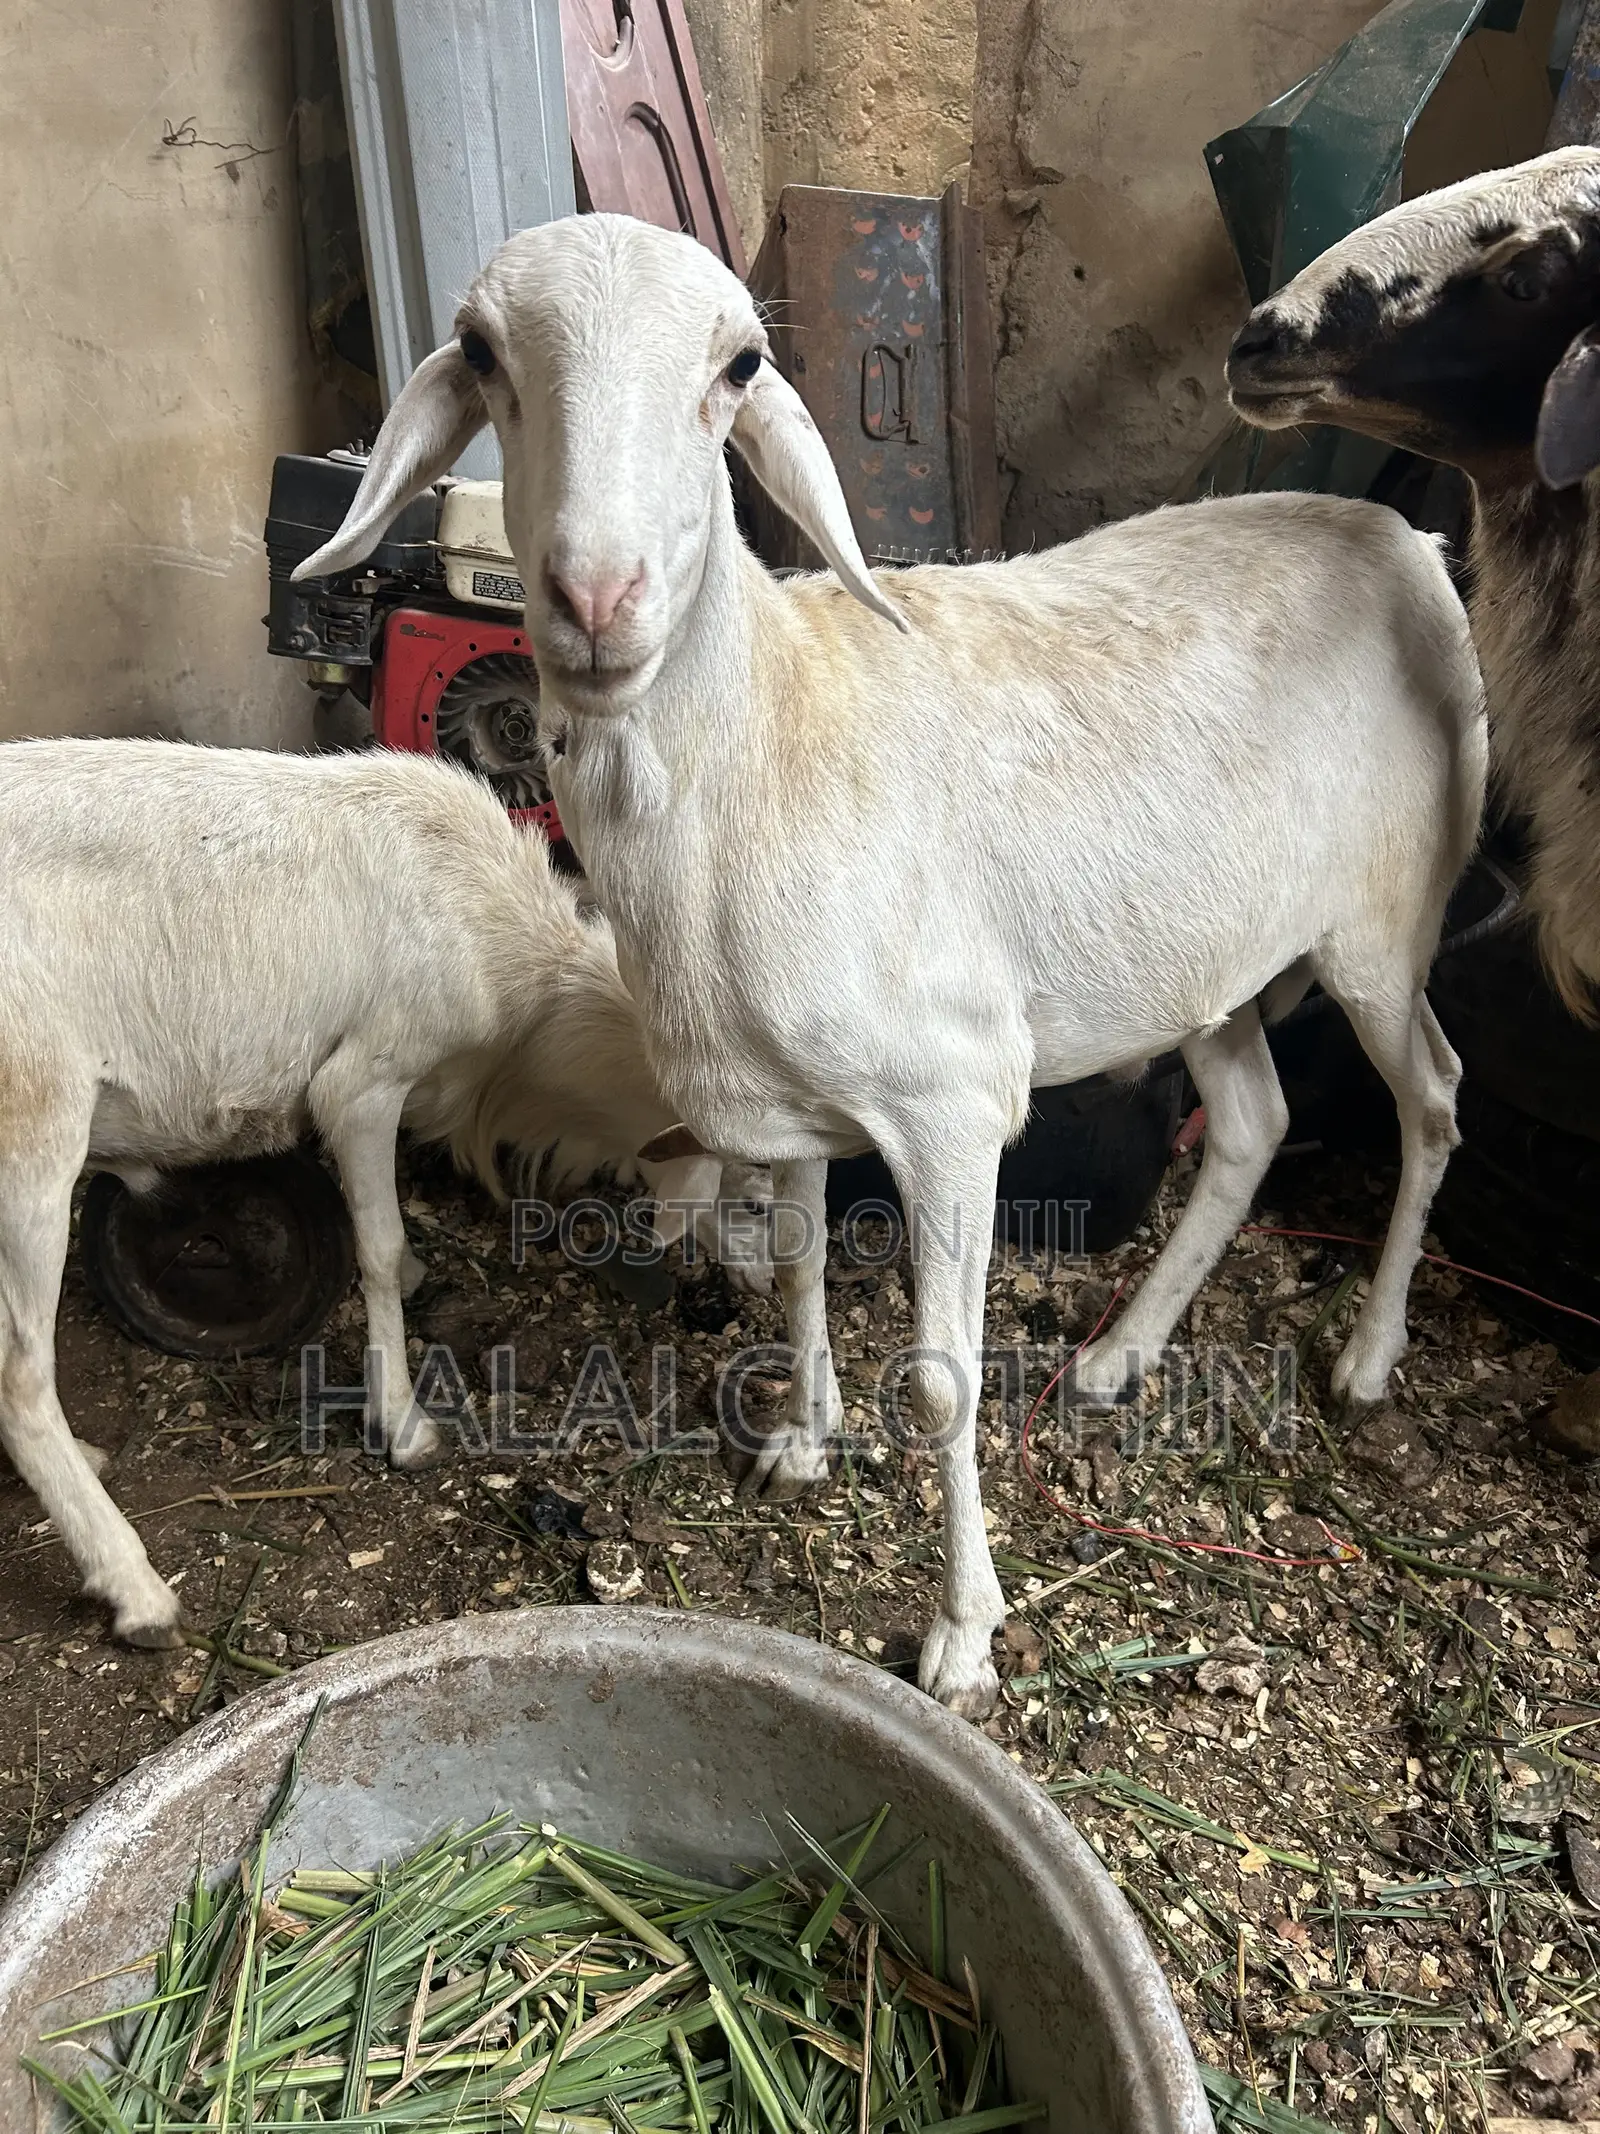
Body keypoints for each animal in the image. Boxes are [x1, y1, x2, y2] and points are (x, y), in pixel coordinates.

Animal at [0, 738, 766, 1647]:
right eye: (754, 1191)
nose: (764, 1292)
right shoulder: (362, 1084)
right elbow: (378, 1241)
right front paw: (401, 1421)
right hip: (33, 1127)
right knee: (20, 1381)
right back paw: (135, 1586)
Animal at [294, 212, 1487, 1717]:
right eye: (482, 352)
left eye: (741, 364)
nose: (597, 596)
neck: (764, 739)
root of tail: (1406, 538)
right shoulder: (793, 1097)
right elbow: (800, 1266)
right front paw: (802, 1441)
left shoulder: (953, 1099)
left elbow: (943, 1379)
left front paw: (963, 1635)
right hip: (1198, 950)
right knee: (1255, 1118)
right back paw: (1119, 1356)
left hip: (1384, 915)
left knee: (1432, 1094)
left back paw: (1370, 1356)